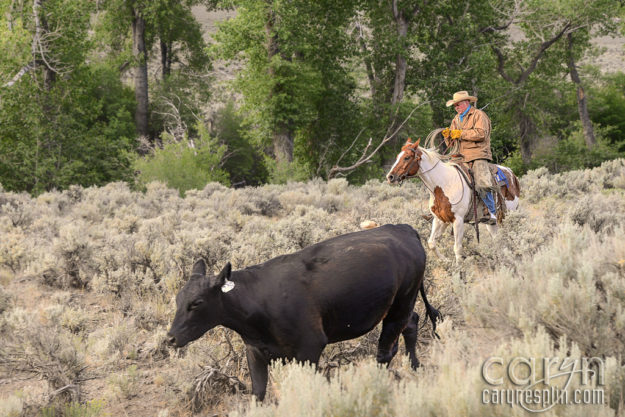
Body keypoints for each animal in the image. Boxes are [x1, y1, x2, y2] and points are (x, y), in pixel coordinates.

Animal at [166, 224, 438, 400]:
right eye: (178, 299)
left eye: (197, 302)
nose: (170, 338)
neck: (260, 302)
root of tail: (402, 228)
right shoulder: (255, 351)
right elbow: (258, 392)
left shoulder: (310, 348)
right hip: (402, 305)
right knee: (411, 325)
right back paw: (416, 367)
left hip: (401, 303)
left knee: (384, 352)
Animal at [386, 140, 520, 264]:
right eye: (398, 156)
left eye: (407, 157)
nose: (390, 177)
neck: (444, 184)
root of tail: (511, 174)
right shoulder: (440, 219)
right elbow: (431, 243)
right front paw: (445, 260)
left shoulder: (458, 220)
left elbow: (457, 249)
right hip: (492, 223)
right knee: (497, 239)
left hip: (508, 214)